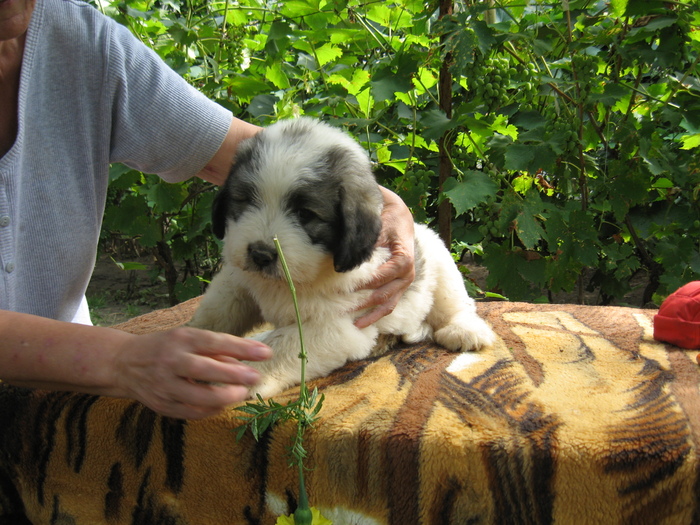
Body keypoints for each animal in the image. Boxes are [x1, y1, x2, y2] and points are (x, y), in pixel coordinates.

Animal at [189, 117, 494, 398]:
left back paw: (464, 331)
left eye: (305, 214)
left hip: (440, 264)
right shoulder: (237, 282)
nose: (261, 254)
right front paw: (196, 338)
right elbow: (217, 311)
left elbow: (281, 346)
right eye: (247, 200)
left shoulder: (336, 324)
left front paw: (242, 373)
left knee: (456, 304)